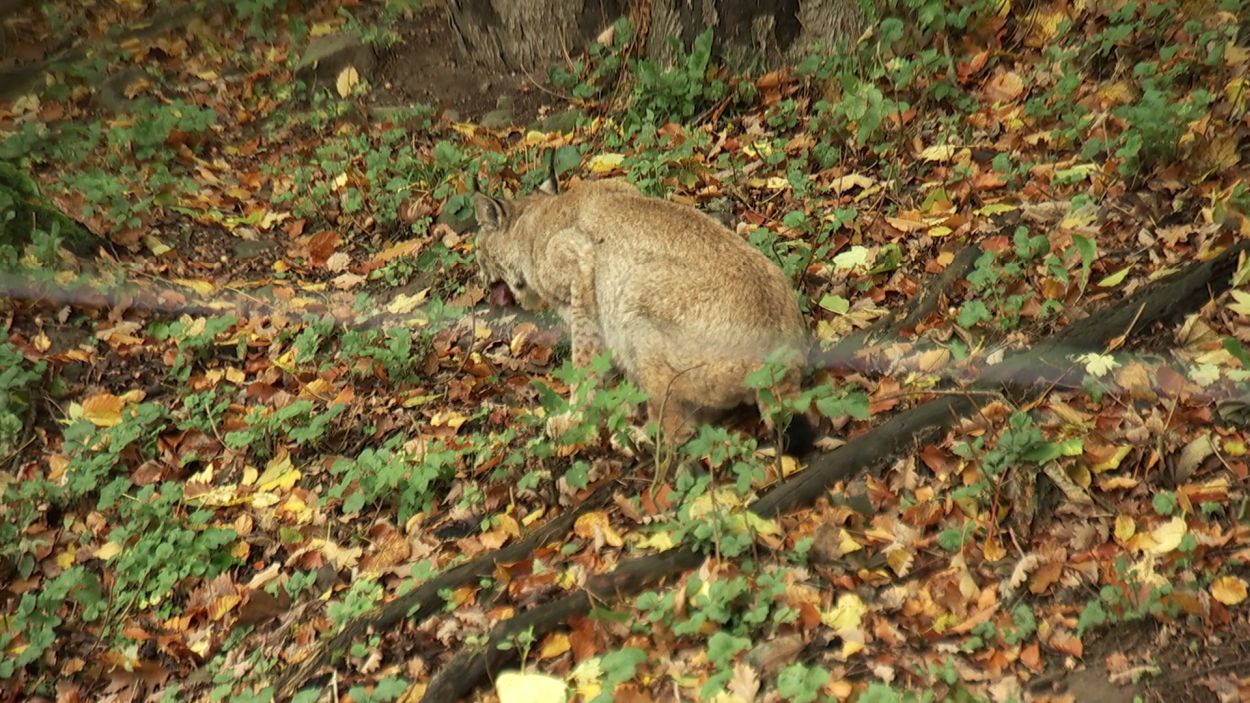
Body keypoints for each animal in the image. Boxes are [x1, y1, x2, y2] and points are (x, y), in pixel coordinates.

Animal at [473, 162, 816, 455]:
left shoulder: (581, 265)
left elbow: (584, 360)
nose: (480, 279)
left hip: (635, 300)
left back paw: (638, 439)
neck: (533, 219)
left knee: (679, 434)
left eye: (478, 251)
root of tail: (780, 358)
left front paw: (572, 420)